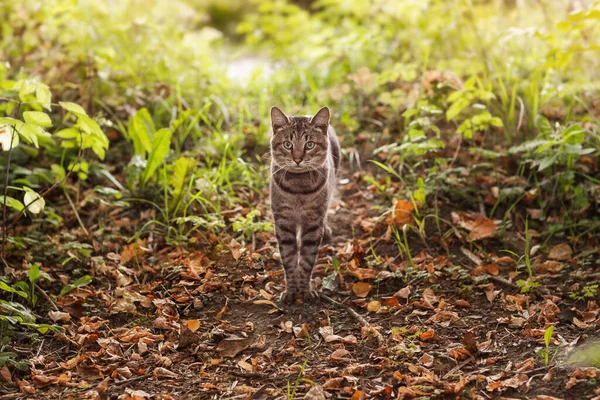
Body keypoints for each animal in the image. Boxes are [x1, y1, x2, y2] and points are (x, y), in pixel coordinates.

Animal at [270, 106, 340, 304]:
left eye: (309, 145)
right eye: (288, 144)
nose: (297, 159)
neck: (298, 188)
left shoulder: (313, 222)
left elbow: (307, 260)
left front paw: (304, 290)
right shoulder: (283, 222)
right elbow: (289, 258)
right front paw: (292, 290)